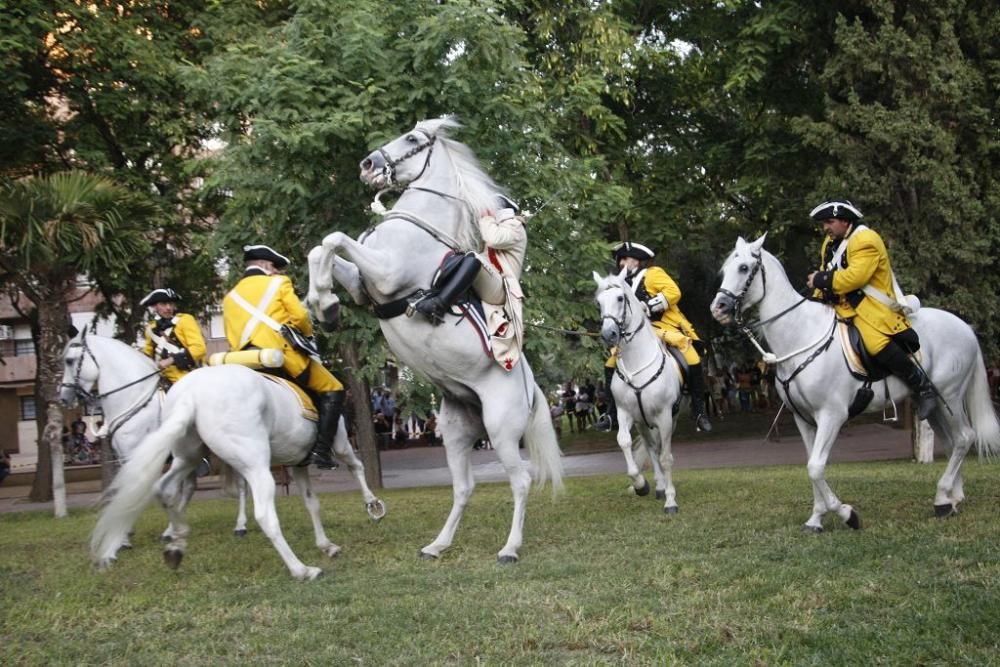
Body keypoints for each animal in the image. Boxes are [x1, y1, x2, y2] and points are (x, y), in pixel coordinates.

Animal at [304, 116, 564, 564]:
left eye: (412, 138)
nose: (368, 164)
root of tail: (531, 387)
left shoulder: (385, 274)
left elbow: (333, 239)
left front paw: (324, 303)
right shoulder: (362, 286)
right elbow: (320, 250)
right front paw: (322, 305)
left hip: (501, 430)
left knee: (521, 481)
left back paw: (510, 548)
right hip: (457, 432)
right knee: (464, 488)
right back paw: (438, 545)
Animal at [592, 270, 688, 512]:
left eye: (620, 298)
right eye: (598, 302)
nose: (608, 334)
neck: (637, 363)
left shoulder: (664, 415)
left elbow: (666, 457)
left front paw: (671, 501)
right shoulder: (625, 412)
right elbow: (624, 442)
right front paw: (640, 485)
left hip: (669, 419)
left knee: (660, 449)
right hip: (642, 423)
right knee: (651, 448)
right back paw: (659, 486)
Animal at [712, 235, 1000, 532]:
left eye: (744, 268)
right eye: (726, 269)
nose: (718, 309)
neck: (801, 334)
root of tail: (965, 327)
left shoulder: (832, 415)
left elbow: (815, 467)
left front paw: (847, 514)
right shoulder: (803, 419)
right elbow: (811, 466)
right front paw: (816, 518)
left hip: (950, 397)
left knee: (965, 438)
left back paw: (943, 499)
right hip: (931, 404)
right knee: (953, 442)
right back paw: (952, 498)